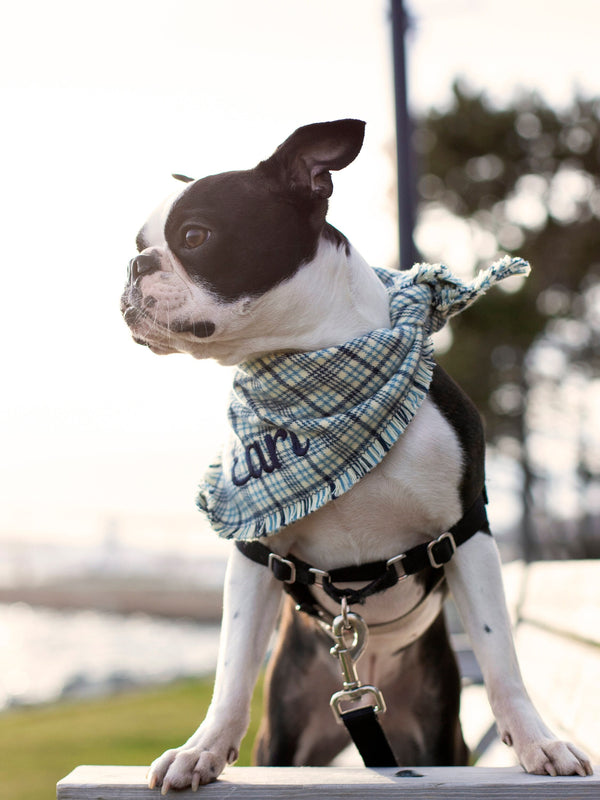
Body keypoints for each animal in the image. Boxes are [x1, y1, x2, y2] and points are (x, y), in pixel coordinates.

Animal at [119, 115, 592, 792]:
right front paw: (202, 749)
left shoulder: (467, 533)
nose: (134, 264)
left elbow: (502, 656)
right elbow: (231, 669)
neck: (313, 377)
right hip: (289, 734)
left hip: (435, 732)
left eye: (195, 236)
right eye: (139, 241)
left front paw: (538, 742)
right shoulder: (255, 551)